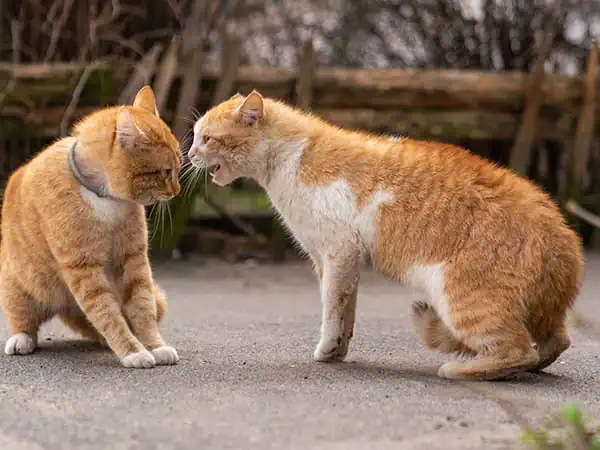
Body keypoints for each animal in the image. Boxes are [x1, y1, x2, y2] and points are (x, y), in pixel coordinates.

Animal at [1, 85, 182, 370]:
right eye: (164, 172)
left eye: (178, 165)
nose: (177, 190)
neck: (104, 198)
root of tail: (65, 307)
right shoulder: (84, 270)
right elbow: (107, 314)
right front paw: (132, 351)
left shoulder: (134, 260)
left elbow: (143, 310)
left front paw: (155, 346)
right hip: (18, 287)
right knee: (24, 320)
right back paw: (22, 339)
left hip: (154, 297)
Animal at [190, 90, 584, 380]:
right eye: (194, 137)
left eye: (207, 138)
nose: (190, 154)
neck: (292, 157)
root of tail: (563, 235)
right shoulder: (341, 262)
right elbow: (346, 311)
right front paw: (338, 351)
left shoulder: (338, 253)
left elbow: (331, 308)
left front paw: (326, 349)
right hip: (541, 315)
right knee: (555, 342)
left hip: (461, 298)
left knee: (516, 351)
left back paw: (462, 370)